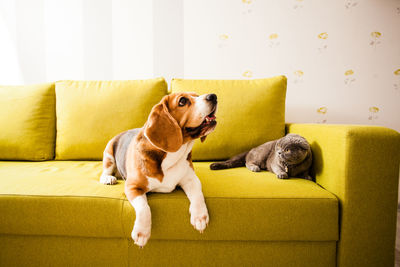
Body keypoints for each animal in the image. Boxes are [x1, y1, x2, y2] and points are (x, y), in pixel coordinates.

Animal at [100, 93, 219, 248]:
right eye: (182, 101)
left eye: (197, 95)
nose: (213, 96)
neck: (170, 156)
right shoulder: (132, 187)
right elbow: (144, 208)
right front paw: (142, 232)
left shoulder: (191, 179)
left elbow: (198, 195)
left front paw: (200, 216)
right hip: (109, 153)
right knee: (105, 172)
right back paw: (108, 178)